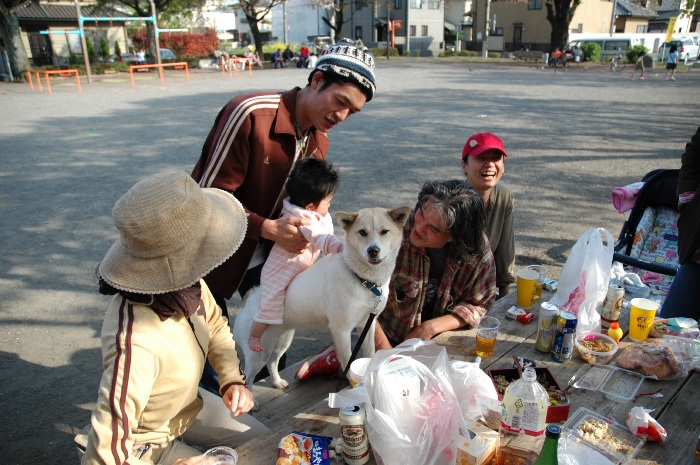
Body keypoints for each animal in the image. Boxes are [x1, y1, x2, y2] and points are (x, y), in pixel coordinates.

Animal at [235, 205, 410, 390]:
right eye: (362, 232)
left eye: (384, 232)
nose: (373, 250)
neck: (364, 281)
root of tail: (251, 295)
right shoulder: (341, 330)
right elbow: (347, 362)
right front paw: (354, 388)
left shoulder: (367, 325)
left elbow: (370, 353)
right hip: (259, 352)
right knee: (248, 377)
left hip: (282, 341)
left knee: (272, 363)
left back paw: (277, 382)